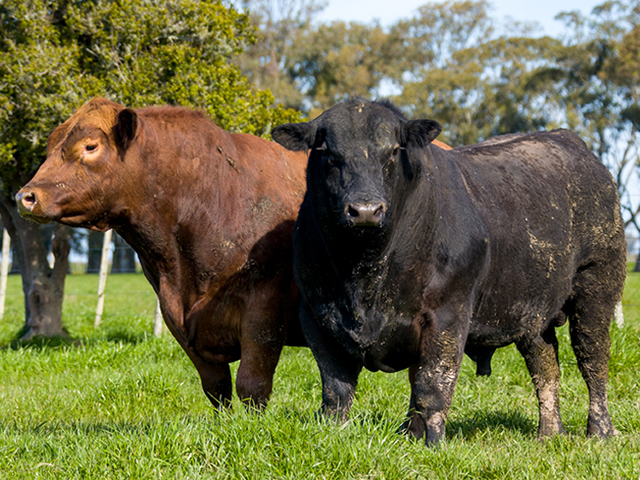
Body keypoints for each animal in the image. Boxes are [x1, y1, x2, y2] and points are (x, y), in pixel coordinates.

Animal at [272, 99, 624, 448]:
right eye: (328, 153)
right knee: (545, 364)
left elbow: (432, 386)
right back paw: (549, 432)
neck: (365, 276)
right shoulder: (316, 315)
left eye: (393, 151)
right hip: (532, 309)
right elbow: (336, 391)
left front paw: (433, 444)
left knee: (593, 358)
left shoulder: (447, 314)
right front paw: (336, 435)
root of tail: (568, 139)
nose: (366, 211)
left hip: (597, 288)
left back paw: (601, 430)